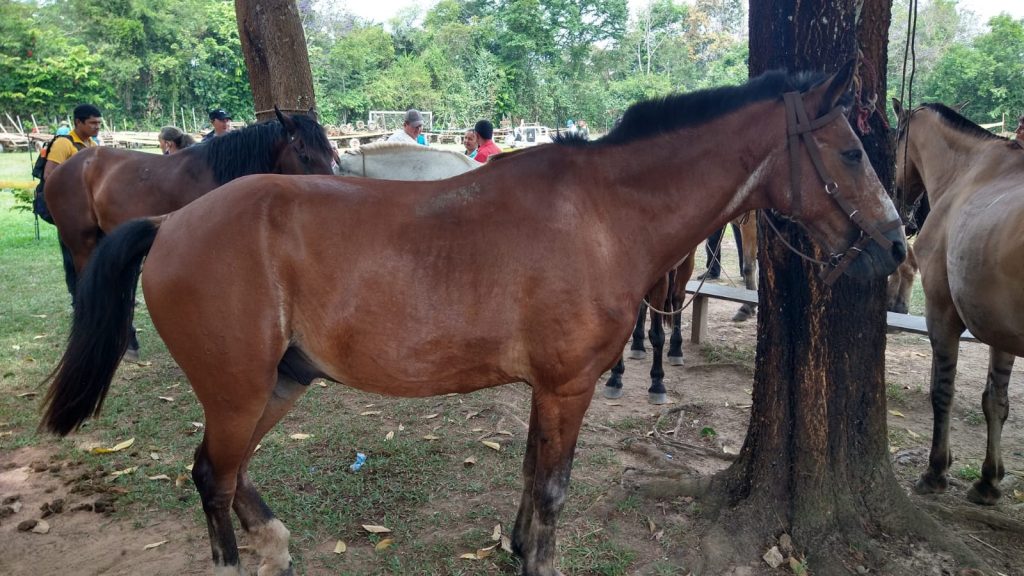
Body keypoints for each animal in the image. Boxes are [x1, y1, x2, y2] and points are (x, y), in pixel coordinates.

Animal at [897, 98, 1024, 502]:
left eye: (894, 137)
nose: (906, 215)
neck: (971, 174)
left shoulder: (941, 314)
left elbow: (942, 391)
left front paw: (936, 470)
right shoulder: (1002, 330)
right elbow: (995, 400)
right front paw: (988, 480)